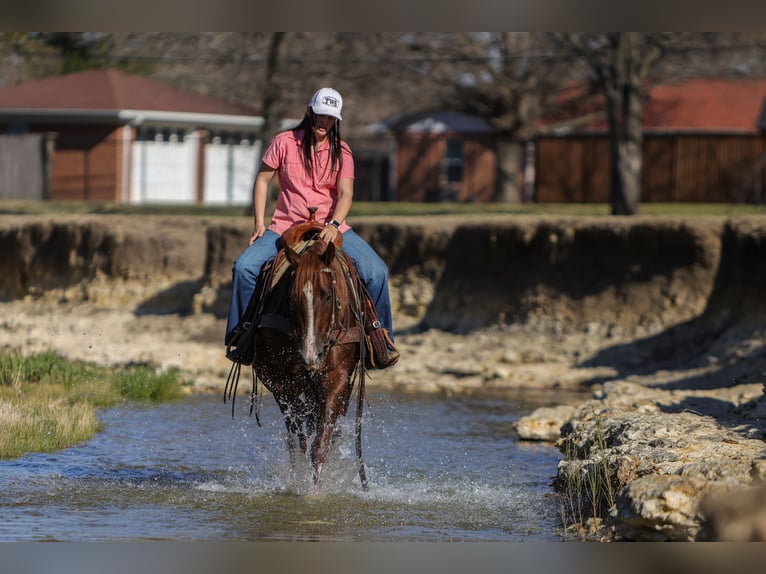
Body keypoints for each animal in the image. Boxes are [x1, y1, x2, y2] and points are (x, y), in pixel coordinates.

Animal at [225, 210, 369, 491]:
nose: (310, 355)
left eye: (327, 295)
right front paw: (301, 482)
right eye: (291, 297)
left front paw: (315, 490)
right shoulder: (283, 384)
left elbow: (320, 443)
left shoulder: (336, 378)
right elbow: (300, 441)